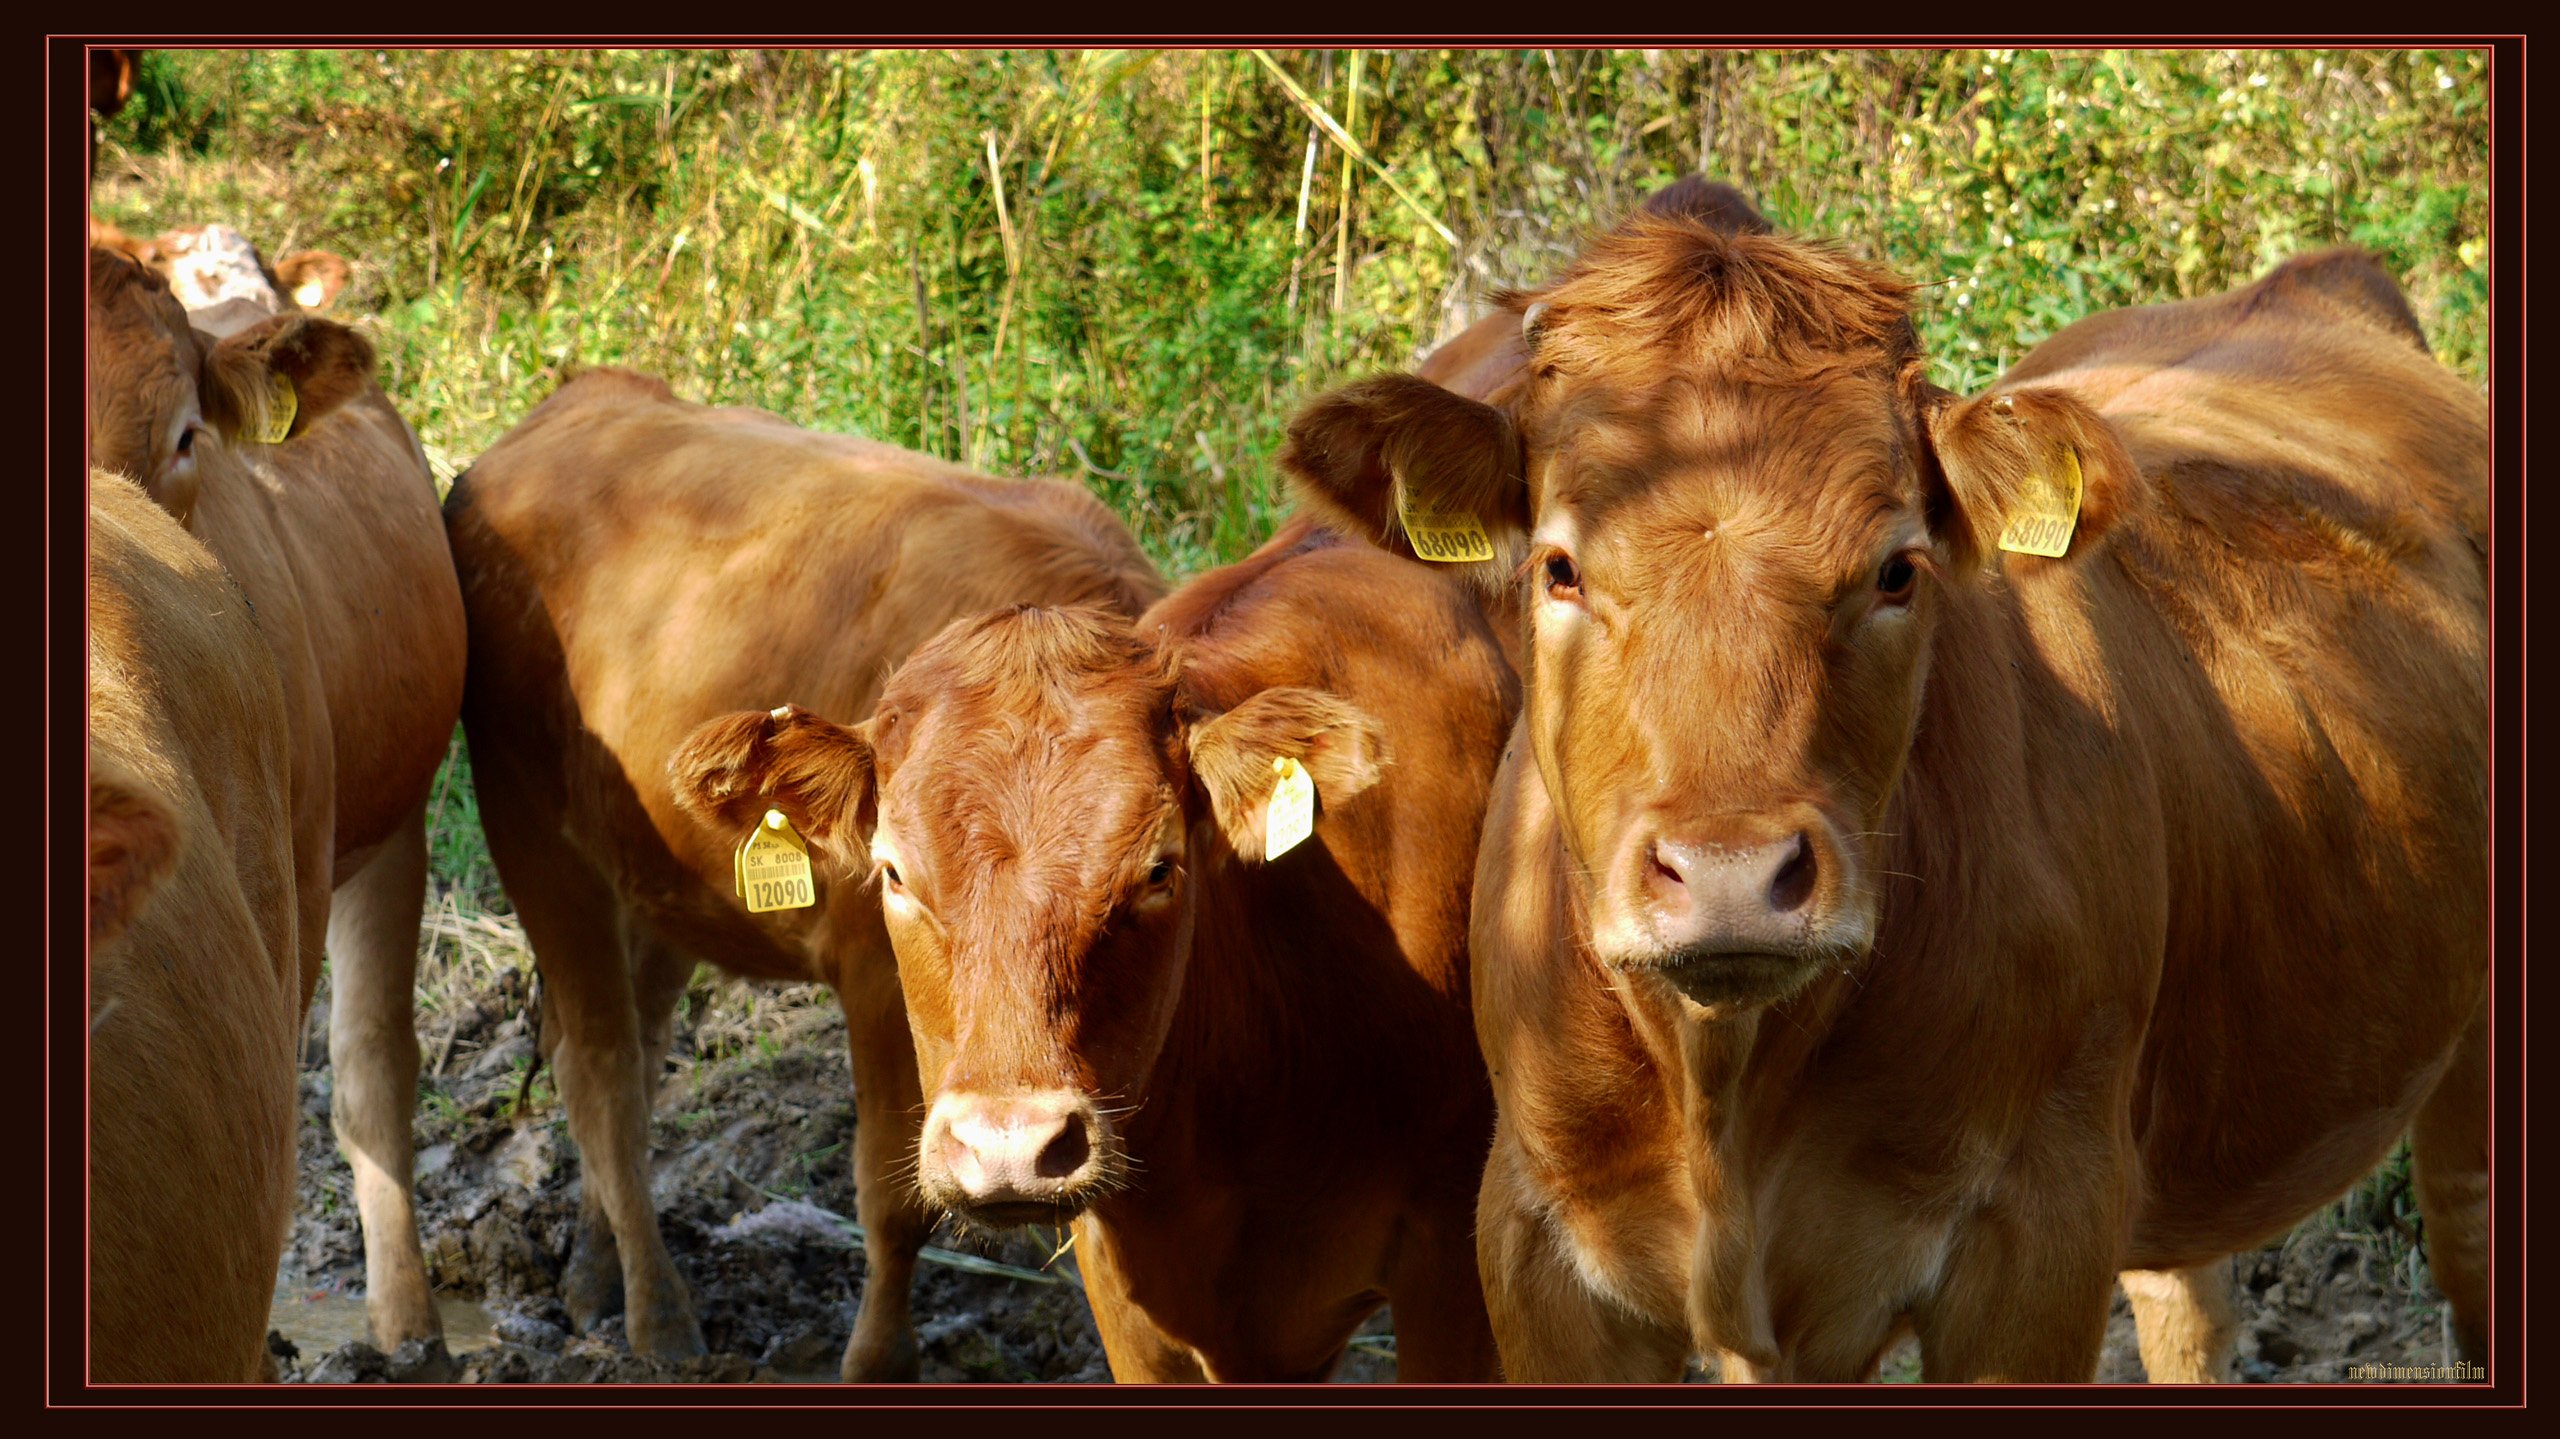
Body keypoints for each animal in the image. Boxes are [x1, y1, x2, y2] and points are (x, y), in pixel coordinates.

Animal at [437, 363, 1162, 1372]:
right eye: (896, 873)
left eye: (1155, 867)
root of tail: (581, 398)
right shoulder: (876, 983)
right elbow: (893, 1199)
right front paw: (877, 1363)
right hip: (533, 829)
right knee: (600, 1069)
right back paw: (659, 1316)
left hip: (655, 879)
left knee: (633, 1048)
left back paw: (591, 1269)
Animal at [1290, 190, 2488, 1382]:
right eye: (1559, 567)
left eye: (1897, 569)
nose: (1731, 876)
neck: (1725, 1089)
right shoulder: (1531, 1248)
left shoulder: (2035, 1243)